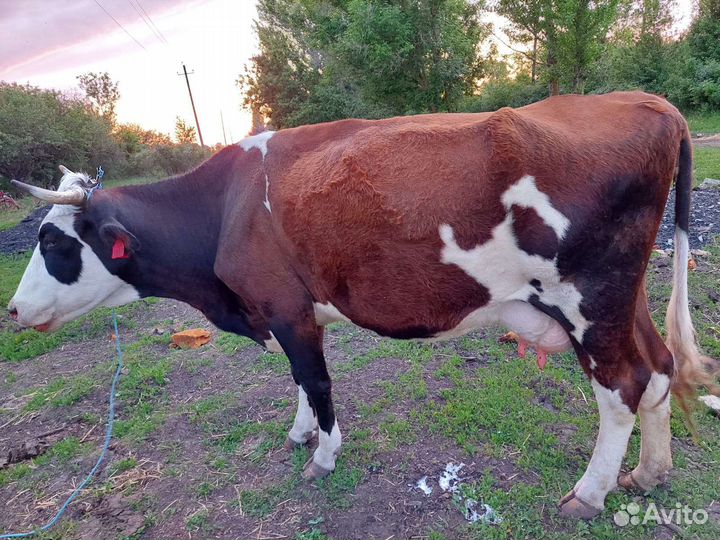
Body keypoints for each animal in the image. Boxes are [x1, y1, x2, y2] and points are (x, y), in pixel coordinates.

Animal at [8, 91, 718, 519]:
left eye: (55, 242)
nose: (13, 311)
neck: (225, 209)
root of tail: (645, 100)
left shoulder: (285, 307)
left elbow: (316, 381)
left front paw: (323, 454)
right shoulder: (295, 311)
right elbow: (300, 380)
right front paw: (300, 432)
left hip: (588, 301)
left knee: (622, 387)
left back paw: (588, 494)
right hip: (624, 300)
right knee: (658, 371)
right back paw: (650, 473)